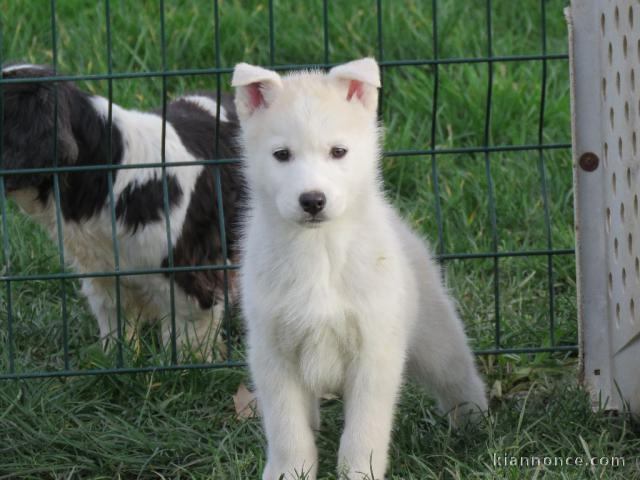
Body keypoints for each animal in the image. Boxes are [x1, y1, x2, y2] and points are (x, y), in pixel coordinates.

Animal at [232, 58, 488, 478]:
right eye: (281, 154)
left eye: (339, 151)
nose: (312, 200)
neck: (321, 252)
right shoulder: (273, 355)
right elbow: (287, 429)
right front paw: (290, 471)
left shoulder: (374, 354)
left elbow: (362, 432)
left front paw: (358, 472)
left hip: (436, 341)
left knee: (459, 378)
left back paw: (475, 426)